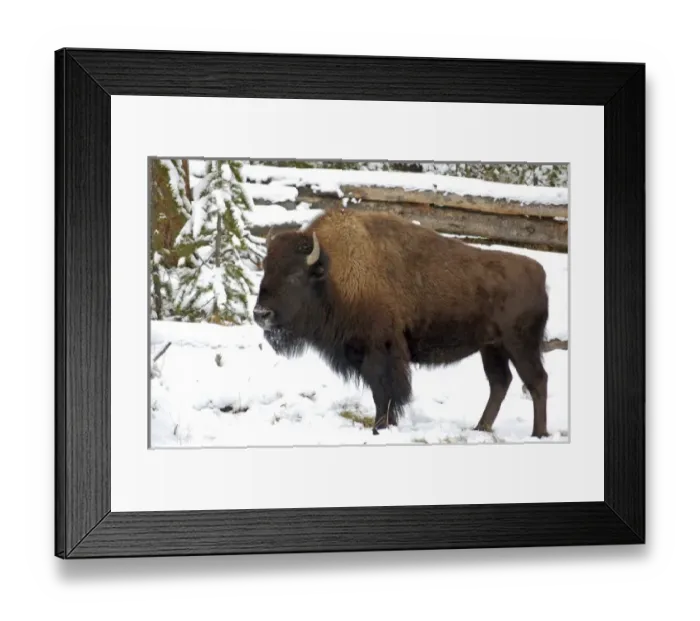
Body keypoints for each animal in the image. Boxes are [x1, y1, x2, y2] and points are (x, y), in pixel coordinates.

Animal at [253, 209, 551, 438]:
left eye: (294, 275)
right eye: (265, 268)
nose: (260, 314)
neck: (334, 274)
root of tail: (539, 272)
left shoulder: (381, 350)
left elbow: (385, 392)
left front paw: (380, 427)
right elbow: (382, 392)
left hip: (520, 345)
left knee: (537, 381)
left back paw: (538, 434)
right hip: (492, 348)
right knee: (500, 382)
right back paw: (480, 428)